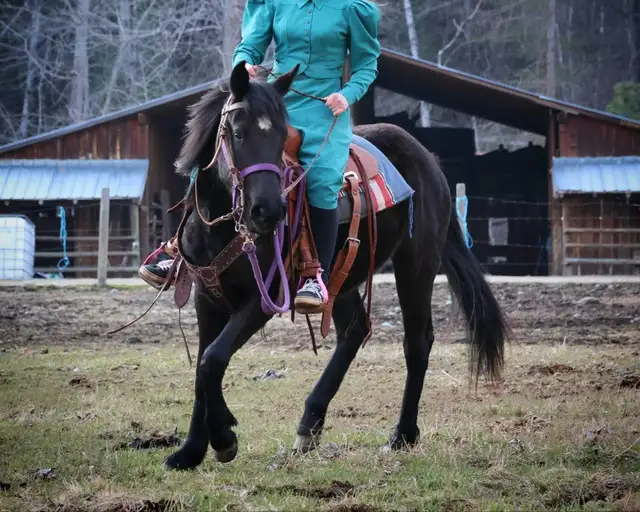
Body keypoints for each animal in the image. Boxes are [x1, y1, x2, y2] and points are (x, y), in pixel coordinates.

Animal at [162, 62, 509, 470]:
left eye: (280, 136)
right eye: (237, 133)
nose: (269, 211)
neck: (222, 227)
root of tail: (428, 160)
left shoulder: (265, 299)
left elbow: (212, 359)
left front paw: (223, 438)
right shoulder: (206, 297)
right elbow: (202, 366)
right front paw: (190, 451)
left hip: (416, 264)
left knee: (416, 341)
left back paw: (402, 435)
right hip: (343, 279)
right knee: (355, 331)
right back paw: (310, 423)